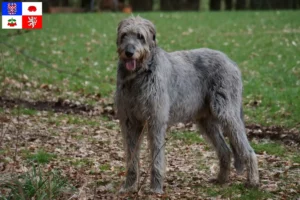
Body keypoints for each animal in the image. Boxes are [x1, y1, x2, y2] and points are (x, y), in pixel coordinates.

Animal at [114, 16, 258, 194]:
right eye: (124, 35)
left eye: (140, 36)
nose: (129, 52)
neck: (138, 76)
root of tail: (232, 62)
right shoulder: (130, 122)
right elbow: (131, 156)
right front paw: (128, 186)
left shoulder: (156, 120)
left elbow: (157, 156)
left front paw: (156, 188)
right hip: (207, 121)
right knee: (225, 150)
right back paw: (221, 179)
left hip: (227, 112)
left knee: (247, 149)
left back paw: (253, 181)